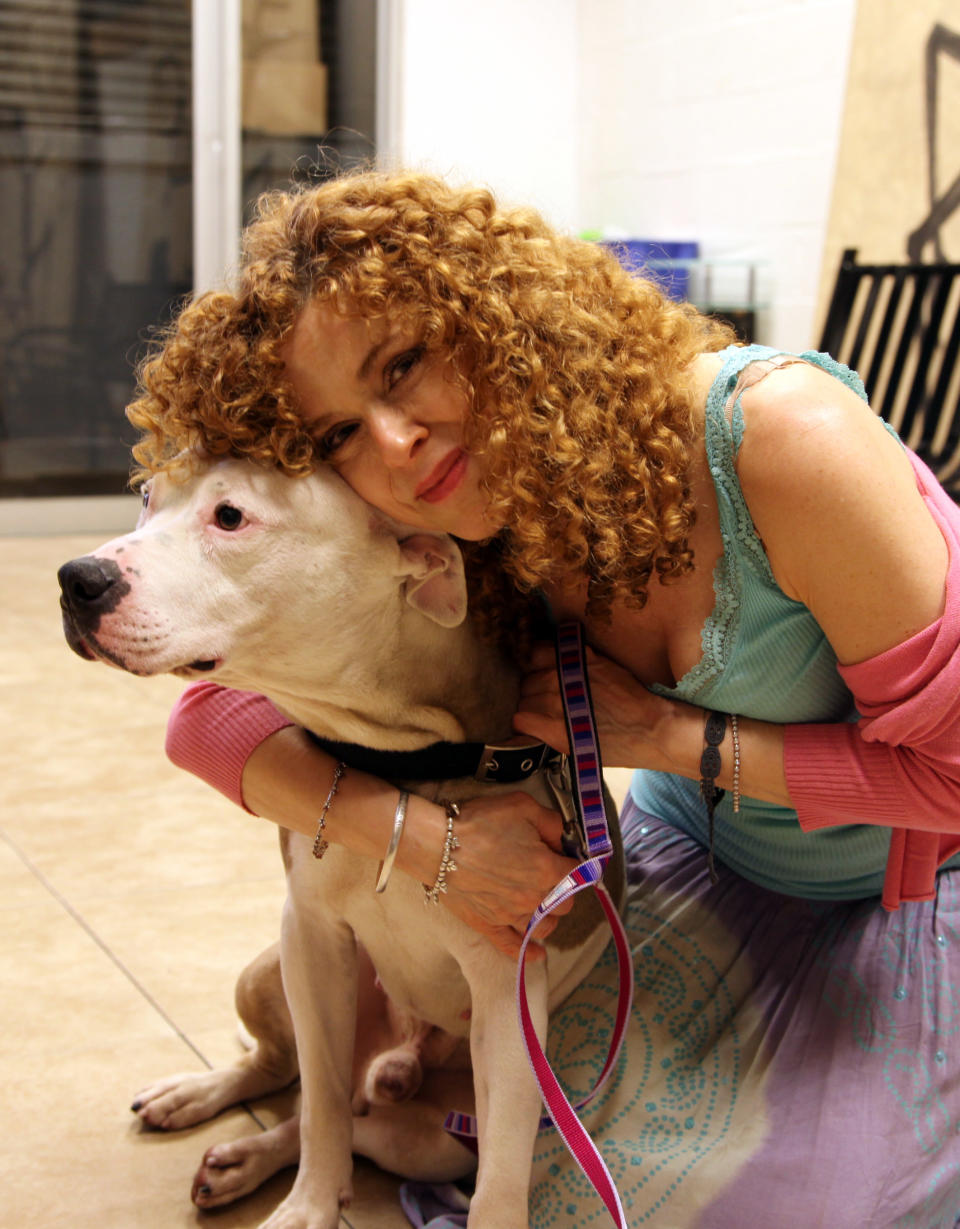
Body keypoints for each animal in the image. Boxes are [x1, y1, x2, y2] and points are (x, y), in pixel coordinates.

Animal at [59, 459, 621, 1229]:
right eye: (147, 497)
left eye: (230, 516)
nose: (76, 577)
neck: (402, 762)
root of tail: (401, 1056)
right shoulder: (312, 939)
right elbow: (321, 1100)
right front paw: (309, 1206)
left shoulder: (508, 992)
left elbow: (500, 1179)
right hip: (266, 972)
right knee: (293, 1078)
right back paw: (206, 1107)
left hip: (438, 1136)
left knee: (365, 1123)